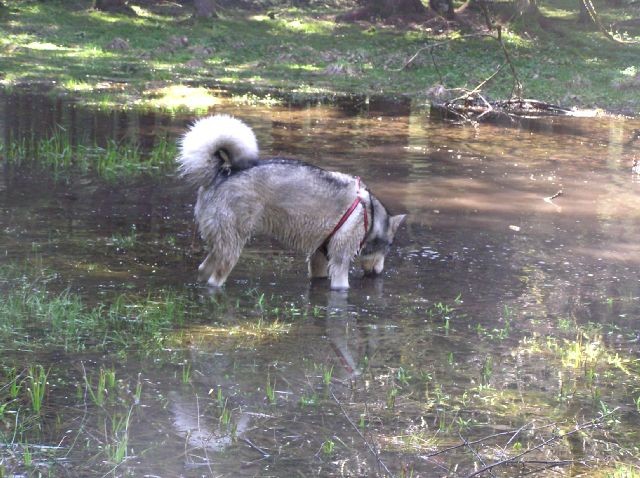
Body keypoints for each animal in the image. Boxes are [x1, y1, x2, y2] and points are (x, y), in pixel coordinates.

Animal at [178, 115, 402, 292]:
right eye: (389, 246)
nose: (379, 274)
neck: (369, 214)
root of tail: (222, 173)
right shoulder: (340, 264)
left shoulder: (318, 259)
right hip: (232, 248)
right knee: (215, 280)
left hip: (220, 245)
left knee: (203, 270)